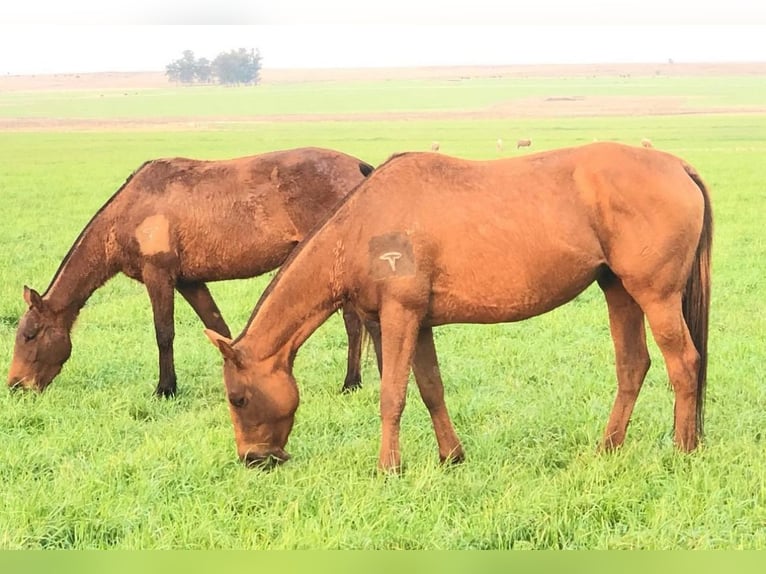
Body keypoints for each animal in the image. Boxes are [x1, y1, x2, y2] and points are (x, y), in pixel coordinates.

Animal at [8, 147, 382, 397]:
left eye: (30, 335)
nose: (15, 385)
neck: (130, 211)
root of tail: (360, 168)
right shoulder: (190, 282)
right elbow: (219, 328)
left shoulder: (158, 276)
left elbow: (164, 333)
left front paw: (165, 388)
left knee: (353, 325)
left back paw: (351, 383)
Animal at [205, 142, 712, 472]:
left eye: (238, 398)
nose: (253, 460)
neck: (362, 226)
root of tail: (678, 165)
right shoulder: (419, 323)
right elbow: (431, 389)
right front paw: (451, 456)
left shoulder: (399, 316)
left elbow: (392, 395)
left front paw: (388, 468)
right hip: (618, 291)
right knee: (633, 366)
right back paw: (607, 448)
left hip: (655, 296)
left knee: (684, 364)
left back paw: (683, 450)